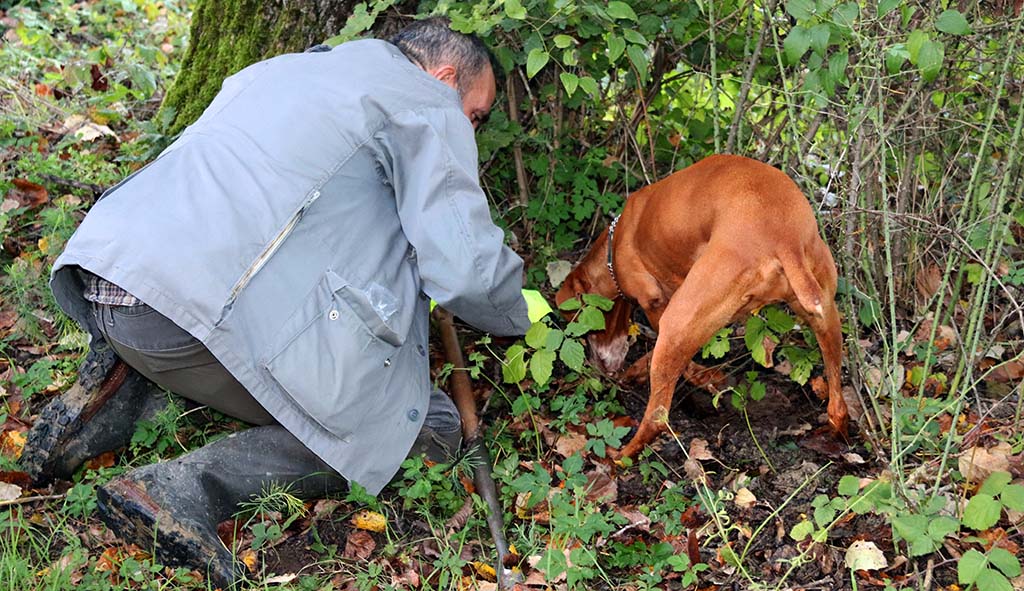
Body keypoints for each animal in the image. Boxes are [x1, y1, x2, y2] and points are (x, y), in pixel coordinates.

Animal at [557, 154, 843, 458]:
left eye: (587, 327)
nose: (599, 368)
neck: (615, 244)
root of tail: (786, 238)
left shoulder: (656, 303)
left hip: (678, 322)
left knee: (658, 418)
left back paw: (622, 457)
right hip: (826, 316)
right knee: (838, 404)